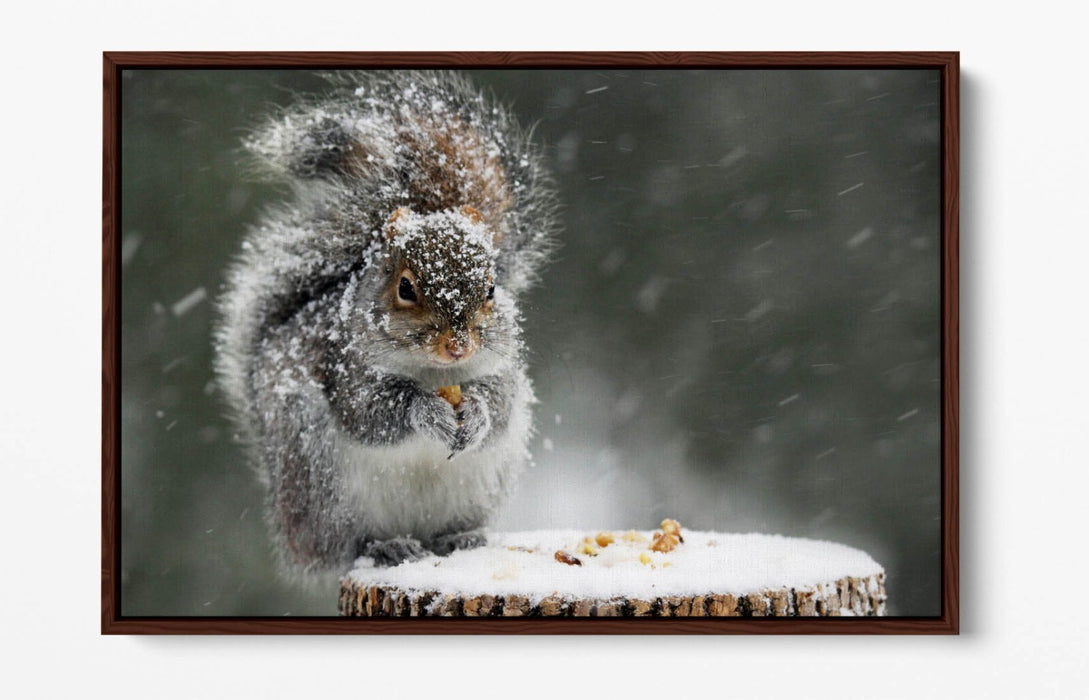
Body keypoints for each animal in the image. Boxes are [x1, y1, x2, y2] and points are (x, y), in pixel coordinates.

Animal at [214, 71, 558, 577]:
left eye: (493, 288)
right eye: (406, 288)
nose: (458, 346)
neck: (435, 373)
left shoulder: (502, 370)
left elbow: (498, 405)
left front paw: (475, 412)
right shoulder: (344, 369)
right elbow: (372, 412)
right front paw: (426, 412)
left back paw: (460, 538)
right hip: (321, 487)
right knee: (345, 546)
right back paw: (385, 547)